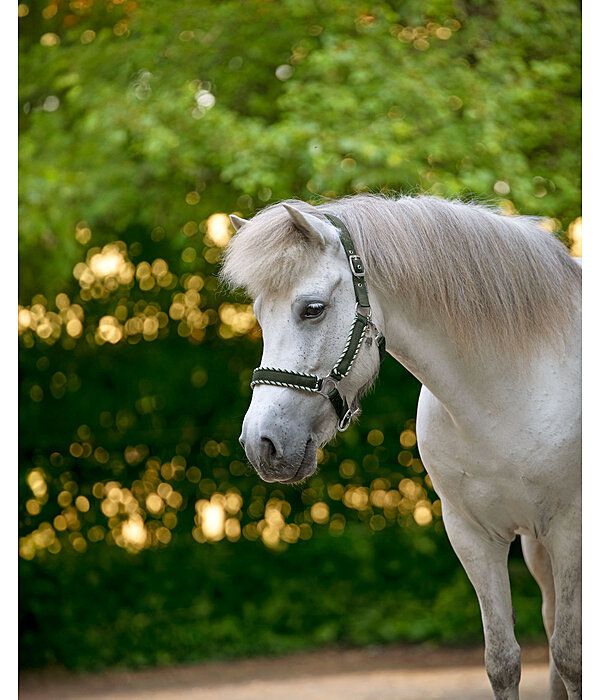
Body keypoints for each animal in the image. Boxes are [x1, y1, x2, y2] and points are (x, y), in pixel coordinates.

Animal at [221, 194, 580, 700]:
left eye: (312, 309)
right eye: (257, 314)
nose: (262, 445)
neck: (510, 392)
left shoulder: (570, 530)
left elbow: (571, 657)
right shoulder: (473, 535)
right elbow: (503, 661)